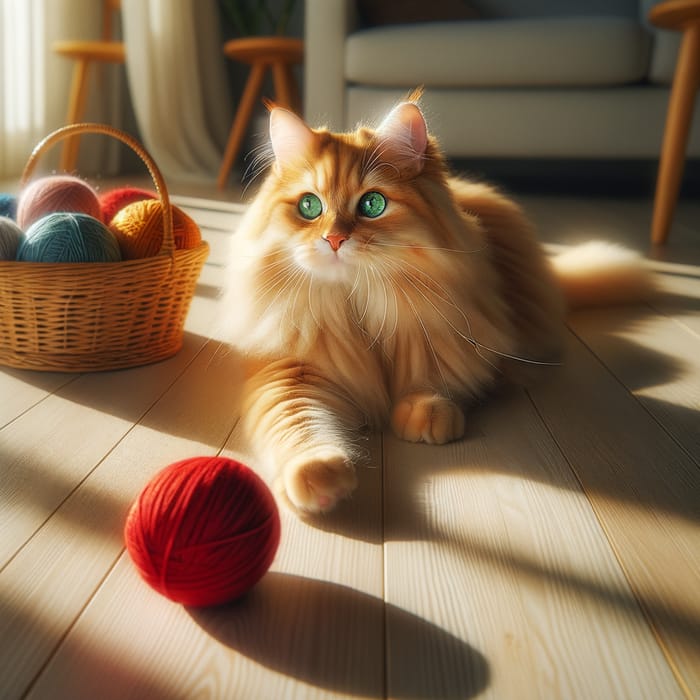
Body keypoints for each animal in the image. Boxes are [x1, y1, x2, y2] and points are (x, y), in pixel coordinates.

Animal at [221, 97, 652, 516]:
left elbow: (431, 374)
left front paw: (426, 413)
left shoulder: (440, 335)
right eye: (309, 207)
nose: (335, 239)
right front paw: (318, 474)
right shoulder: (291, 371)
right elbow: (299, 423)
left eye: (372, 204)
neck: (359, 302)